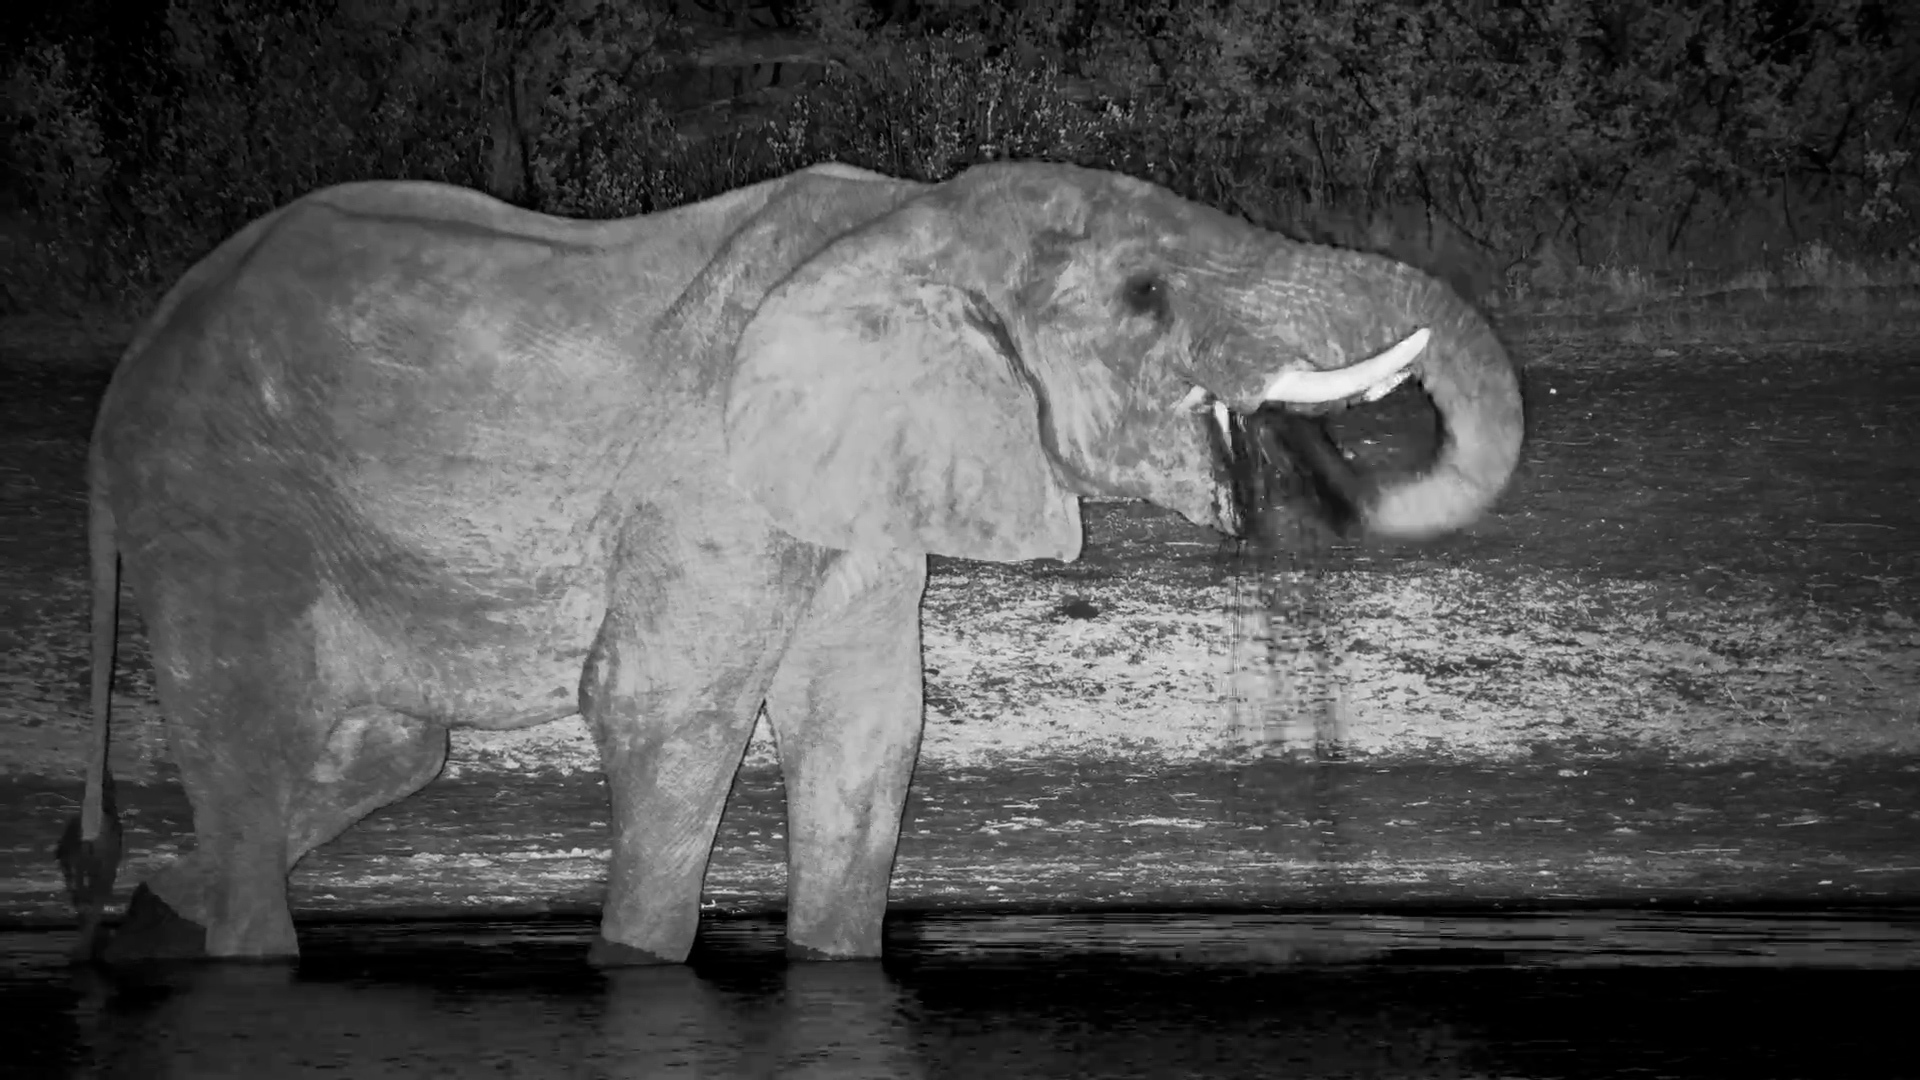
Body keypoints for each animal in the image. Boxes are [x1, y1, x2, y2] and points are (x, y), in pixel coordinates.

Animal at [63, 160, 1523, 965]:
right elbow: (666, 716)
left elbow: (866, 731)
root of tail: (124, 376)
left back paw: (148, 923)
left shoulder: (859, 498)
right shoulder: (708, 474)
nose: (1322, 486)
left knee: (383, 751)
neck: (915, 221)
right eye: (1147, 298)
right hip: (218, 500)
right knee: (255, 732)